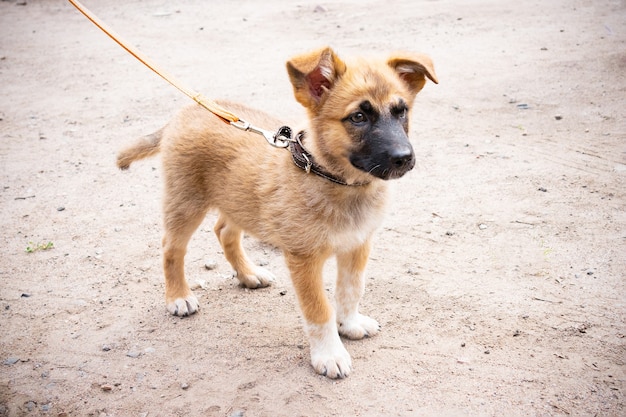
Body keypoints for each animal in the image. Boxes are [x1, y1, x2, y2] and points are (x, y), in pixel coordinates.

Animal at [119, 46, 436, 376]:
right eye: (358, 117)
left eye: (402, 111)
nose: (404, 158)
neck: (337, 181)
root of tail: (186, 111)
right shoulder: (304, 258)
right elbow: (319, 309)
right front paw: (329, 354)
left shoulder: (357, 244)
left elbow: (351, 289)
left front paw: (349, 324)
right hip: (186, 202)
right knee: (172, 248)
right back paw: (179, 296)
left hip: (238, 199)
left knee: (224, 231)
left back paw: (249, 274)